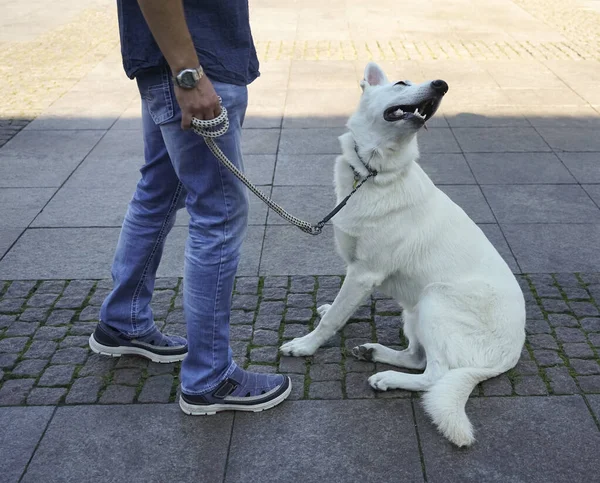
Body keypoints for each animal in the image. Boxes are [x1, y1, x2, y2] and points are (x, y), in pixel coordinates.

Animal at [282, 62, 524, 448]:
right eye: (400, 83)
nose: (441, 85)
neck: (373, 173)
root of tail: (506, 358)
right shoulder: (356, 271)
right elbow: (338, 308)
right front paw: (326, 309)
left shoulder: (364, 273)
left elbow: (333, 319)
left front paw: (305, 345)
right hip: (413, 312)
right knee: (416, 357)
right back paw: (374, 355)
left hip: (434, 299)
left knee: (435, 375)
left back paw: (387, 378)